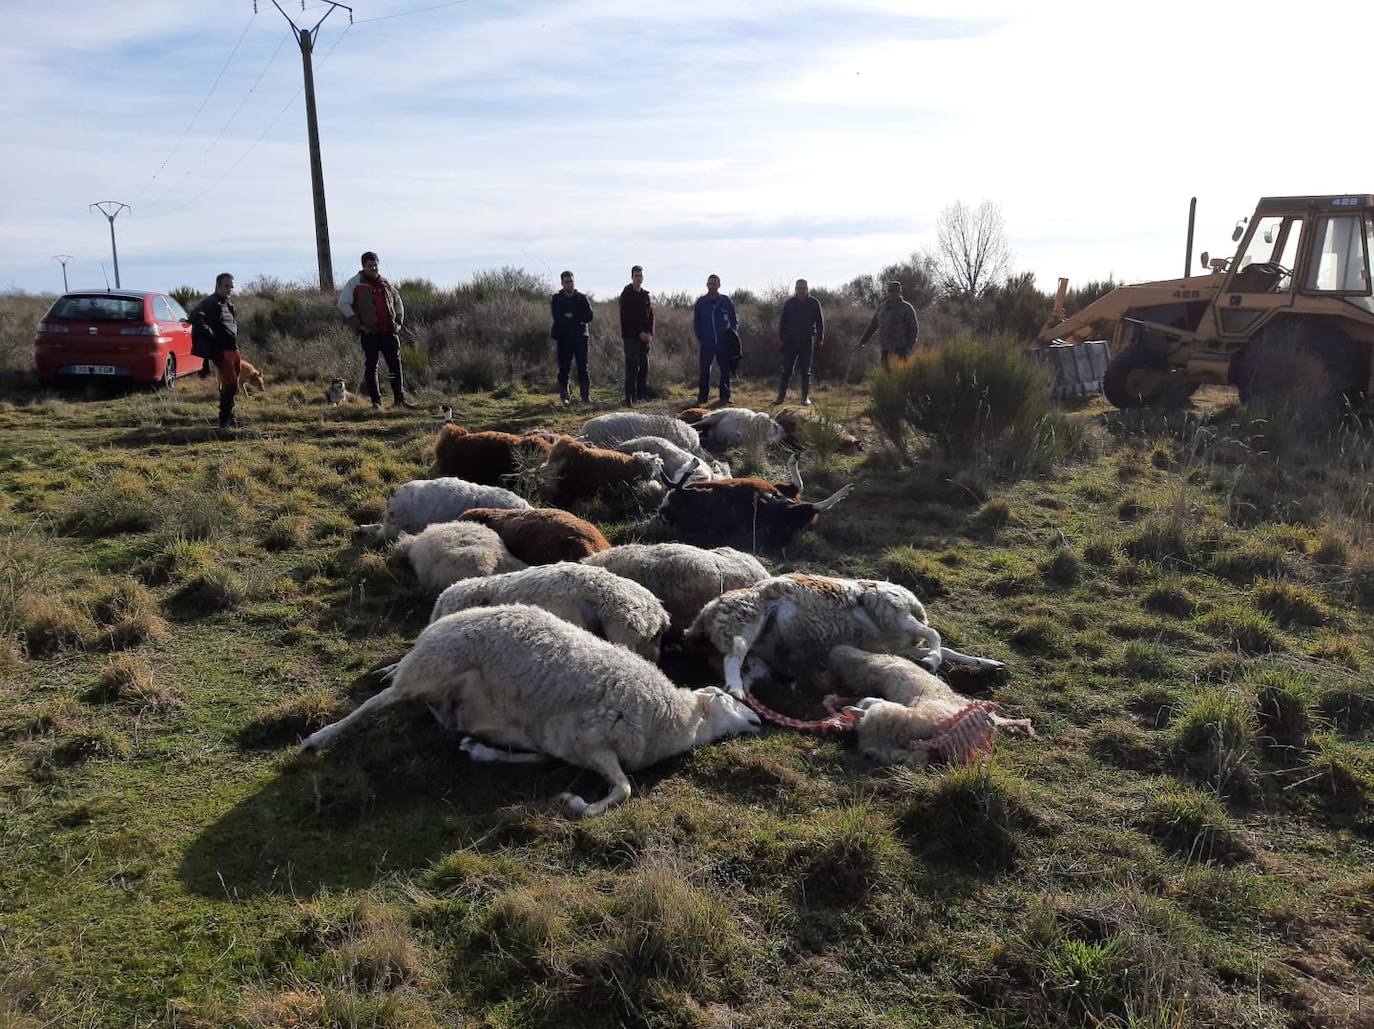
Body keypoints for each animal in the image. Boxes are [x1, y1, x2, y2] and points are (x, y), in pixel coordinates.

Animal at [299, 607, 763, 813]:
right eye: (725, 698)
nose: (759, 720)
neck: (671, 717)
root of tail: (441, 622)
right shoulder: (596, 742)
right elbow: (624, 789)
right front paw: (579, 805)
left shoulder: (559, 744)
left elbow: (535, 759)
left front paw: (479, 751)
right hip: (433, 665)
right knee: (376, 703)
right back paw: (318, 738)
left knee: (427, 708)